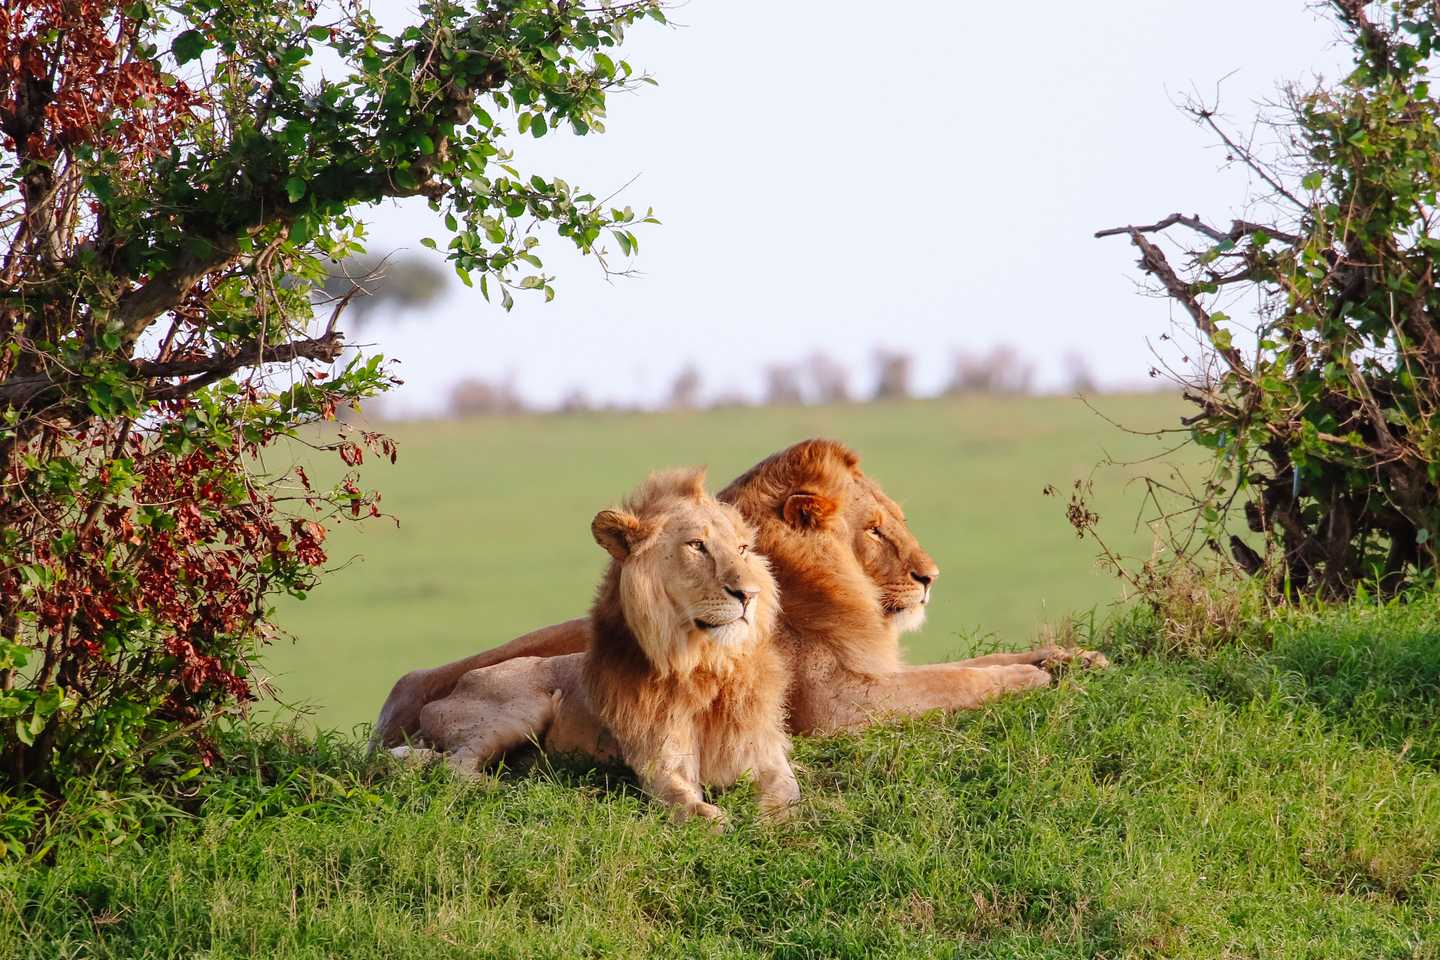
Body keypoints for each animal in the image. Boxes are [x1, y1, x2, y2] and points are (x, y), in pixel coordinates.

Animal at [375, 439, 1104, 750]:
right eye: (875, 531)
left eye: (895, 519)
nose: (932, 577)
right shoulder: (835, 707)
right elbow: (959, 682)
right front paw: (1032, 680)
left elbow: (969, 665)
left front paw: (1071, 659)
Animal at [392, 468, 799, 824]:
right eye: (697, 546)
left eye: (743, 549)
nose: (749, 594)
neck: (706, 666)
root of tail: (456, 684)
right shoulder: (661, 763)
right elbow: (686, 802)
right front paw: (714, 818)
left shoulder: (768, 758)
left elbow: (785, 800)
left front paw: (772, 826)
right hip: (521, 708)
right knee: (454, 766)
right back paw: (510, 787)